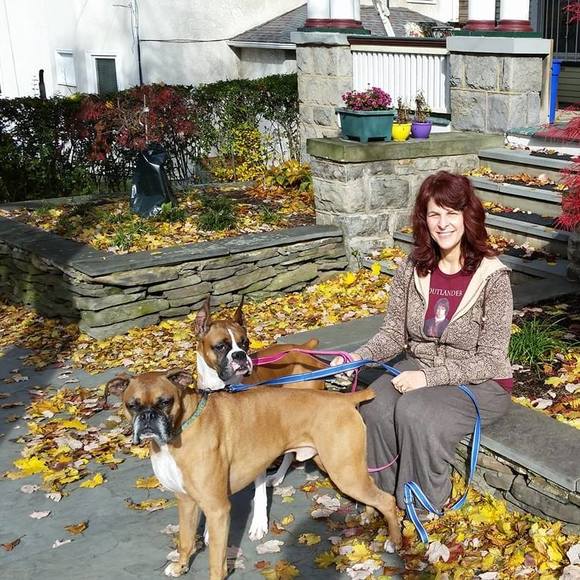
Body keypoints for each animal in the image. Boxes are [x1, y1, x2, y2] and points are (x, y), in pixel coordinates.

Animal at [107, 369, 401, 579]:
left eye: (165, 402)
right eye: (132, 405)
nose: (147, 417)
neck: (181, 427)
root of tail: (343, 398)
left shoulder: (217, 509)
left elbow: (216, 561)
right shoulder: (186, 502)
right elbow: (186, 539)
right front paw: (180, 566)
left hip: (344, 471)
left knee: (387, 500)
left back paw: (394, 542)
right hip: (341, 467)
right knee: (372, 490)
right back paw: (368, 515)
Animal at [194, 296, 329, 540]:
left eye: (245, 343)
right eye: (221, 346)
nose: (240, 355)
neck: (225, 389)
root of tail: (303, 348)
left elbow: (258, 495)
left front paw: (258, 524)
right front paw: (210, 530)